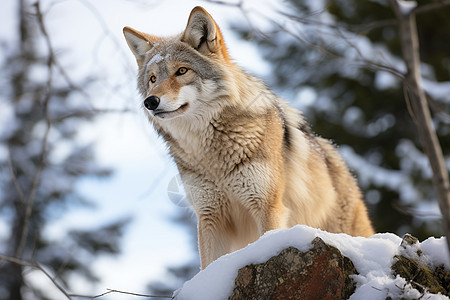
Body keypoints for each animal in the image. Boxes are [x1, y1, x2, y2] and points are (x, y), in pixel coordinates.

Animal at [124, 5, 376, 268]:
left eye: (182, 71)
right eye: (153, 79)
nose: (150, 102)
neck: (211, 154)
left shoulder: (267, 207)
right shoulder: (210, 217)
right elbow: (208, 266)